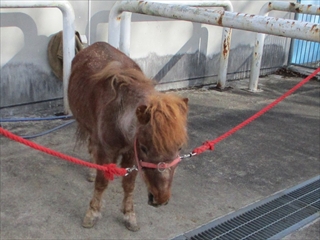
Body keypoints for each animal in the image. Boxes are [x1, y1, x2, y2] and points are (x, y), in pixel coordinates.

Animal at [67, 42, 188, 231]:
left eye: (180, 147)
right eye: (144, 147)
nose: (161, 198)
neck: (119, 113)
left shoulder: (131, 153)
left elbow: (129, 184)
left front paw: (129, 215)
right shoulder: (107, 151)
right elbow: (101, 182)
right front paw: (92, 213)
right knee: (91, 146)